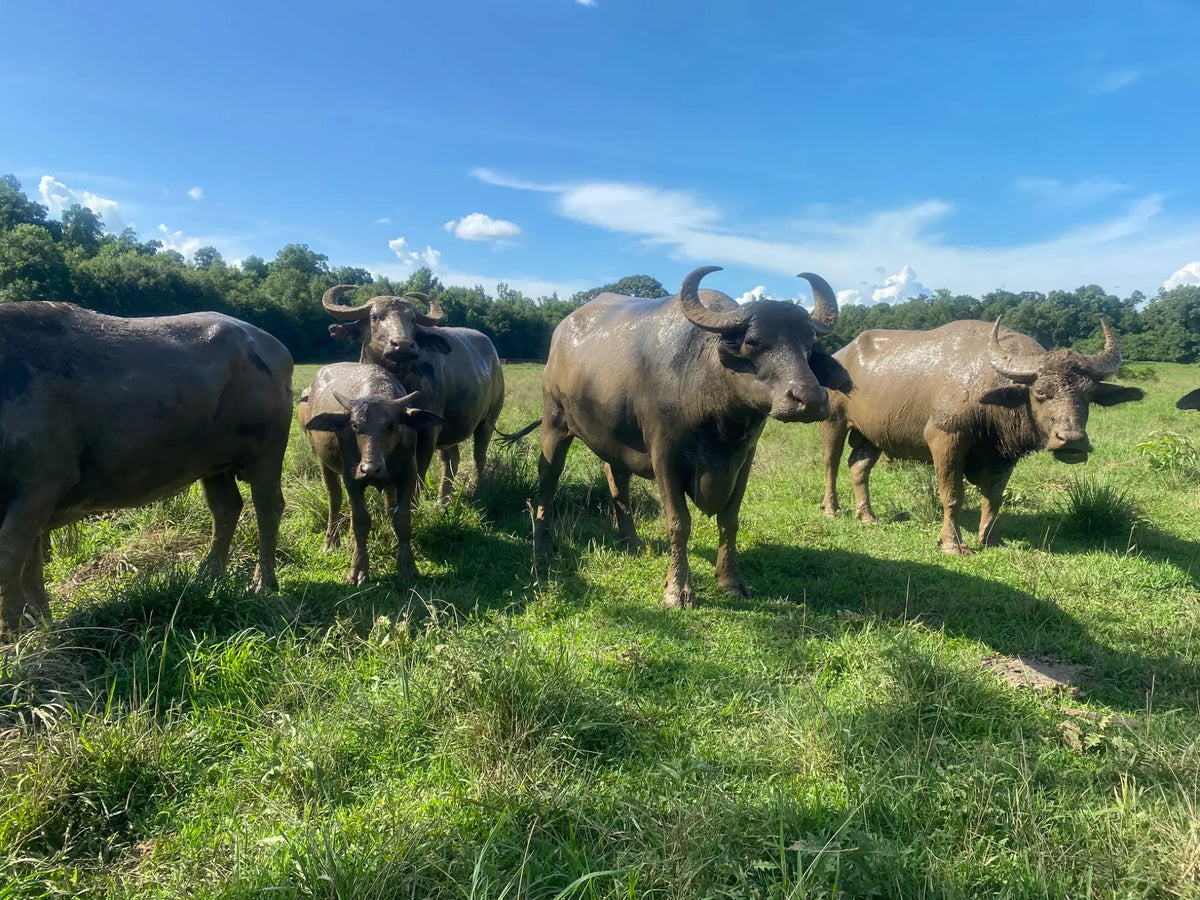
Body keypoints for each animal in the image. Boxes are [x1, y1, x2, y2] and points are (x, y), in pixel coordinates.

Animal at [0, 302, 293, 634]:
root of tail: (273, 347)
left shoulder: (39, 488)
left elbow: (10, 559)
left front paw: (15, 634)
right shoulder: (32, 503)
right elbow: (30, 565)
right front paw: (40, 624)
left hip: (267, 453)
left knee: (268, 508)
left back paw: (263, 583)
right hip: (214, 464)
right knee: (226, 508)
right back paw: (206, 577)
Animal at [300, 362, 443, 584]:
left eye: (391, 425)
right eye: (355, 425)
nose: (370, 469)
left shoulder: (408, 475)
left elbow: (402, 519)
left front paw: (407, 566)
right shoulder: (352, 479)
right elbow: (361, 520)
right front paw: (358, 568)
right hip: (323, 461)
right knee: (334, 498)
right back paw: (331, 542)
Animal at [322, 286, 504, 503]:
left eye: (411, 320)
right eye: (374, 316)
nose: (402, 344)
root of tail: (495, 359)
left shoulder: (428, 430)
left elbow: (419, 470)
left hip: (489, 420)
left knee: (479, 455)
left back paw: (477, 489)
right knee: (451, 458)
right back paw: (442, 501)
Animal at [505, 265, 847, 608]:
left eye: (808, 346)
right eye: (753, 342)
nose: (810, 399)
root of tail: (559, 337)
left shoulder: (744, 459)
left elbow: (729, 520)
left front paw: (732, 581)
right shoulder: (664, 455)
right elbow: (679, 522)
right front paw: (678, 589)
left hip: (616, 440)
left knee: (616, 481)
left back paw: (631, 542)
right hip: (554, 421)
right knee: (548, 478)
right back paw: (542, 547)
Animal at [820, 319, 1144, 554]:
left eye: (1088, 395)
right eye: (1040, 393)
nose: (1072, 440)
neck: (989, 392)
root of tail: (841, 354)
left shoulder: (1003, 455)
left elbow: (994, 497)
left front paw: (991, 538)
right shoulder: (946, 440)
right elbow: (952, 495)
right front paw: (952, 543)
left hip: (870, 435)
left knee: (859, 468)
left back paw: (867, 515)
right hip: (834, 422)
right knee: (831, 464)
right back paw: (832, 509)